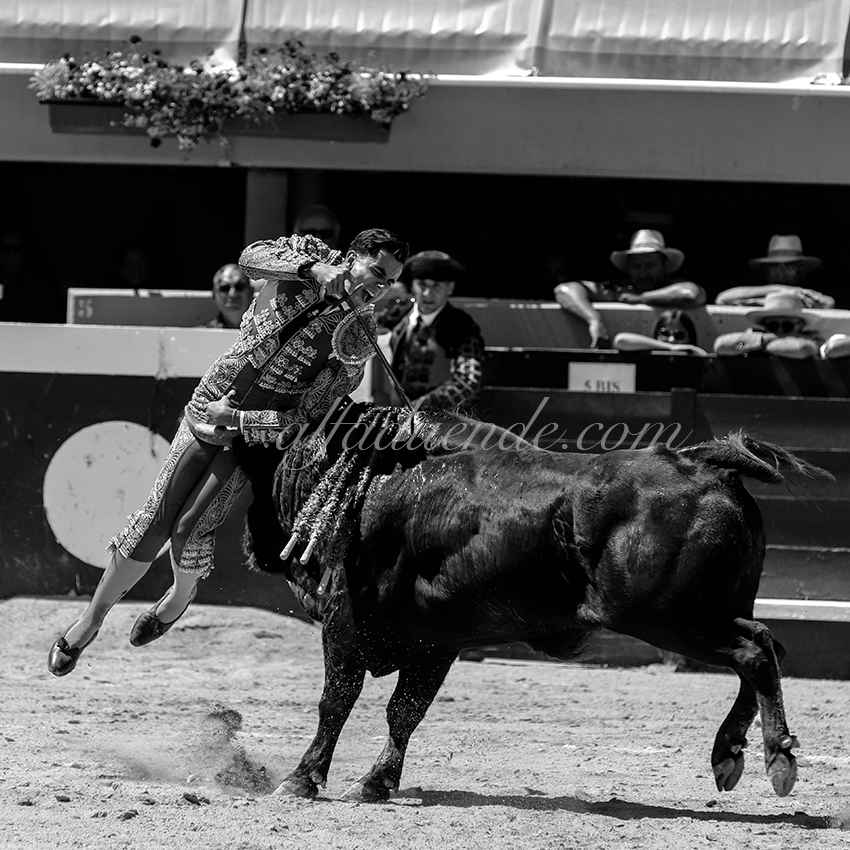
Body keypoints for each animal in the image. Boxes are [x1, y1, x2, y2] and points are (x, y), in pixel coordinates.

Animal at [234, 404, 828, 800]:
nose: (253, 545)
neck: (368, 481)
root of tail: (704, 464)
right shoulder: (440, 636)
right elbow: (405, 710)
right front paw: (377, 783)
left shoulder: (346, 616)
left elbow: (337, 699)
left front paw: (302, 779)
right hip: (707, 612)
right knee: (766, 645)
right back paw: (729, 753)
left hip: (668, 619)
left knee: (755, 652)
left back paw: (776, 757)